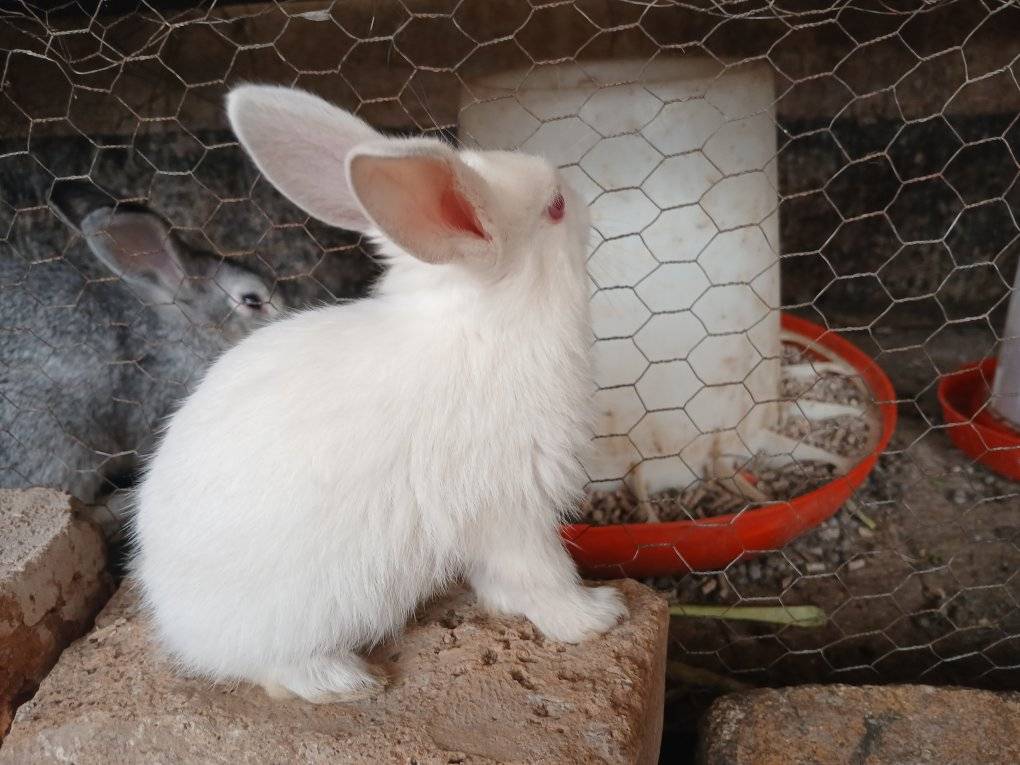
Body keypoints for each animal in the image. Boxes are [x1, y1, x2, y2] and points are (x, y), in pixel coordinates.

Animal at [132, 85, 628, 703]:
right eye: (555, 206)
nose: (582, 199)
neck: (489, 326)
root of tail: (176, 621)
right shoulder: (511, 509)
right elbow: (542, 575)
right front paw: (597, 616)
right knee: (268, 668)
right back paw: (343, 680)